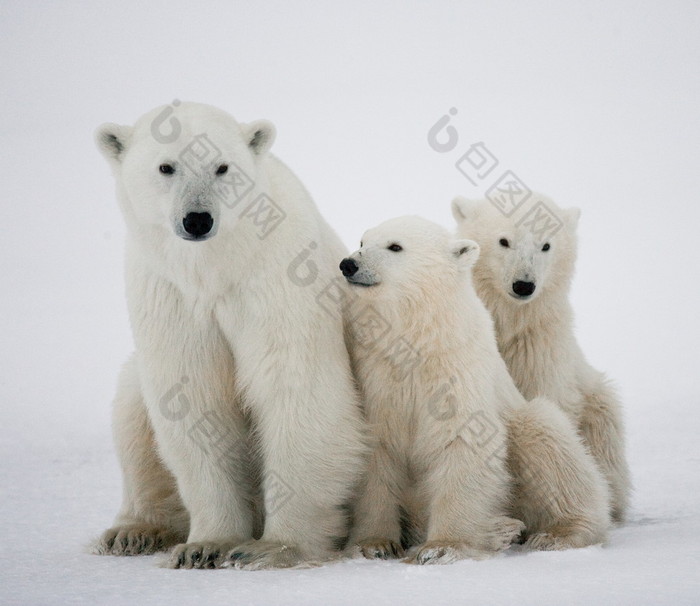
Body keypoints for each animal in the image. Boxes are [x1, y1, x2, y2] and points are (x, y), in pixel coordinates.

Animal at [92, 102, 366, 572]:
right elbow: (194, 398)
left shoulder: (276, 278)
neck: (217, 266)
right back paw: (132, 531)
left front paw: (273, 547)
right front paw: (205, 545)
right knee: (131, 409)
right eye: (166, 166)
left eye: (222, 167)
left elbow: (296, 388)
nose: (198, 219)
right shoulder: (169, 292)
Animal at [338, 217, 608, 560]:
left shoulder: (457, 372)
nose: (349, 264)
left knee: (547, 440)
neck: (420, 341)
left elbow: (463, 440)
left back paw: (554, 533)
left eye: (395, 246)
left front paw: (442, 547)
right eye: (362, 242)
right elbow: (377, 452)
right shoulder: (377, 375)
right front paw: (373, 544)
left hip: (524, 422)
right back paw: (501, 530)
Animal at [452, 194, 632, 524]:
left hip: (596, 406)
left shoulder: (538, 349)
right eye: (504, 241)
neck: (509, 323)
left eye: (546, 245)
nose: (524, 285)